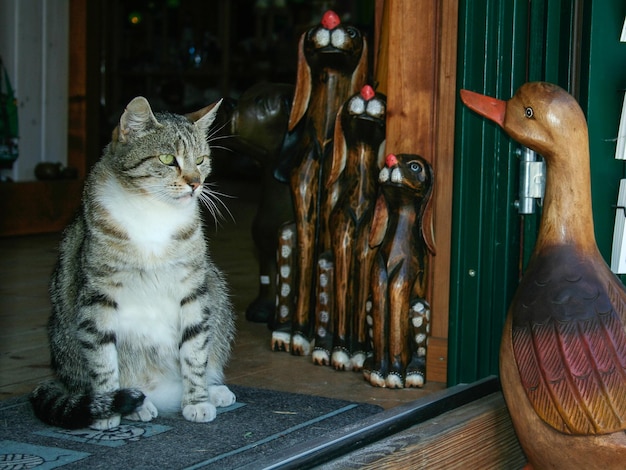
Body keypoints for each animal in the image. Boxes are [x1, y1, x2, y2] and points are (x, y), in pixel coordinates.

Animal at [28, 96, 236, 430]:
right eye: (167, 159)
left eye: (201, 159)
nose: (196, 184)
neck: (154, 212)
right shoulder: (97, 296)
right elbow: (102, 358)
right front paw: (108, 410)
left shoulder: (192, 289)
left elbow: (194, 351)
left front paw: (197, 401)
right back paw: (136, 404)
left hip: (216, 292)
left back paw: (212, 391)